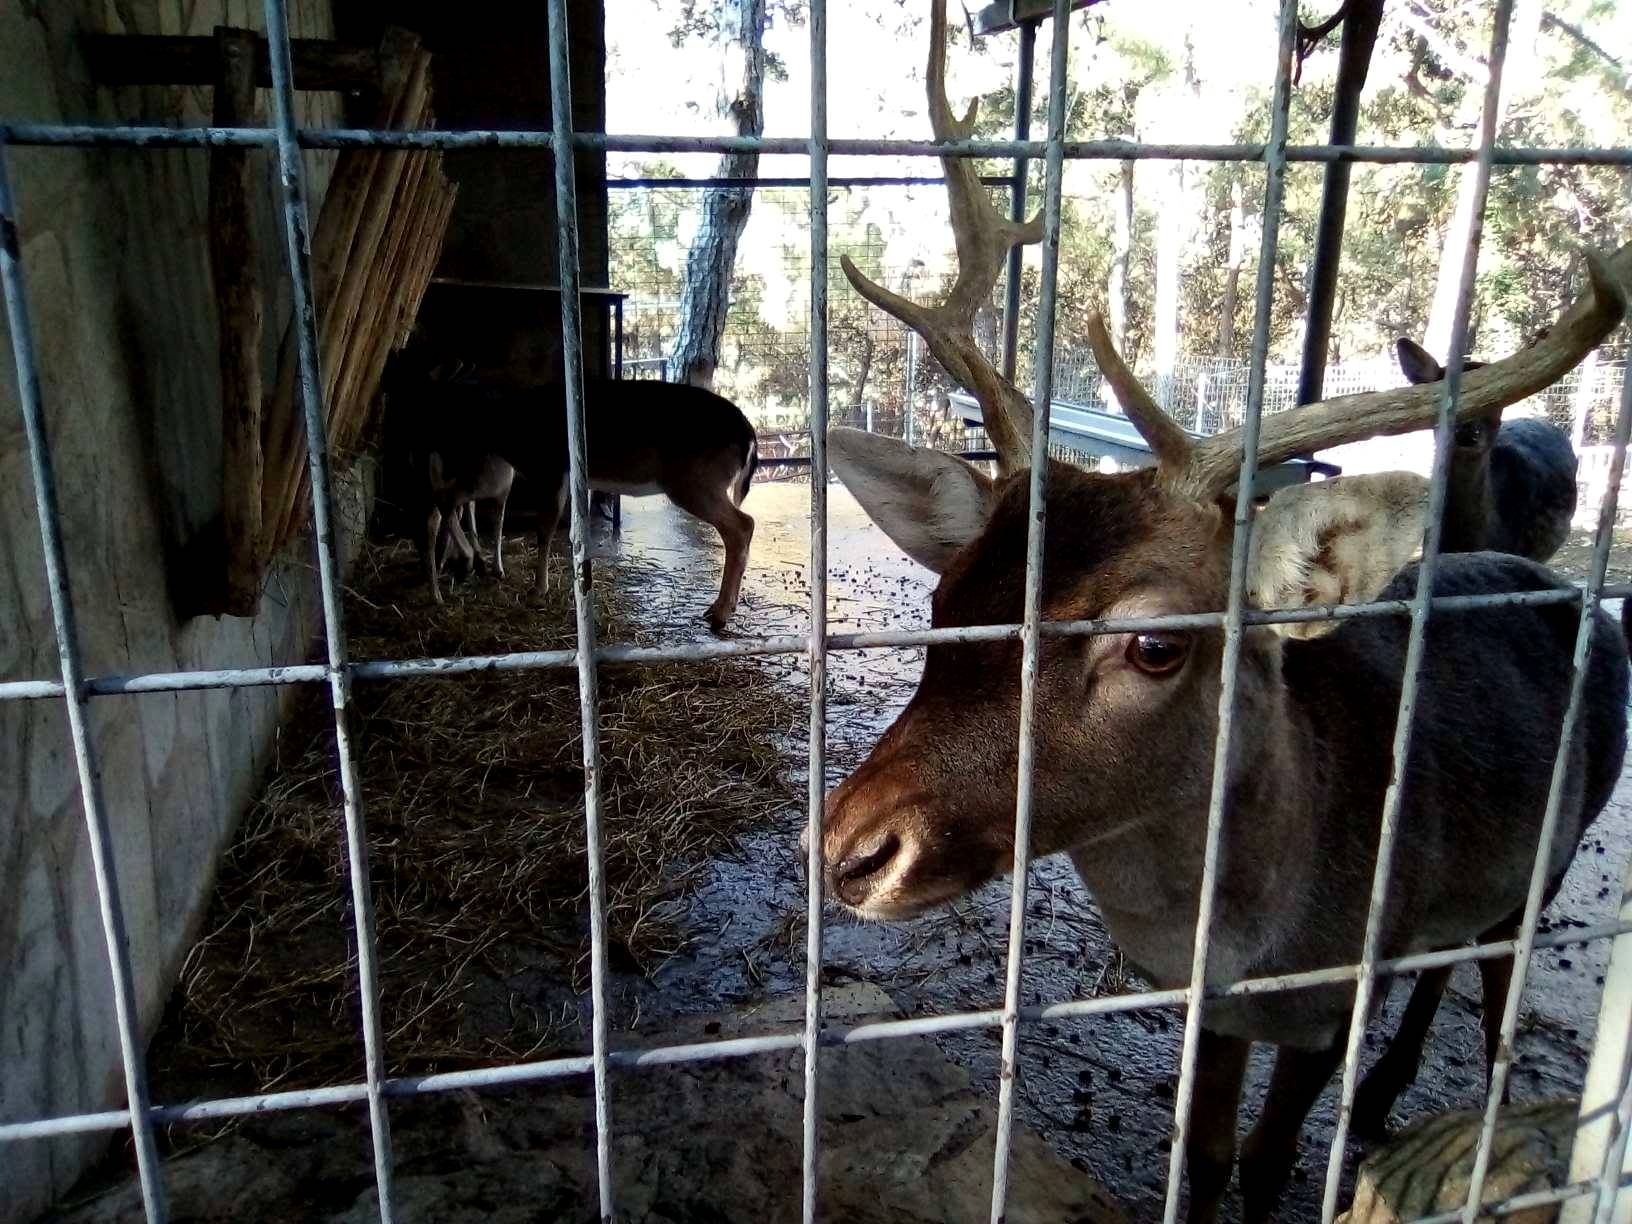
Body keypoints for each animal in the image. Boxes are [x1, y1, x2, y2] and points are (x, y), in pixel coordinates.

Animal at [816, 4, 1632, 1220]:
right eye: (947, 598)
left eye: (1156, 643)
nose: (849, 848)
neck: (1258, 939)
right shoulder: (1215, 1015)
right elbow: (1200, 1159)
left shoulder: (1333, 998)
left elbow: (1265, 1158)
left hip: (1561, 849)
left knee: (1493, 978)